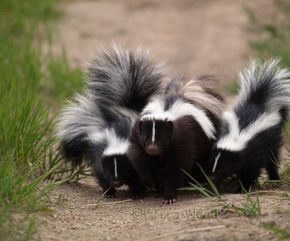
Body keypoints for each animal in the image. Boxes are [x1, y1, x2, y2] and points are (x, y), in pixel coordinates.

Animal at [56, 45, 163, 198]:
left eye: (124, 167)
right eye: (109, 170)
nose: (116, 182)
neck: (118, 137)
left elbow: (137, 174)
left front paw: (138, 192)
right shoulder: (99, 153)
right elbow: (100, 174)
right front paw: (109, 192)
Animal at [211, 59, 290, 191]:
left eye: (223, 166)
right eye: (211, 164)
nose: (212, 176)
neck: (236, 137)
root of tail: (257, 102)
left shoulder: (254, 153)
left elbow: (251, 172)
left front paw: (243, 188)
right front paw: (230, 181)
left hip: (273, 140)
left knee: (272, 161)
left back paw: (274, 178)